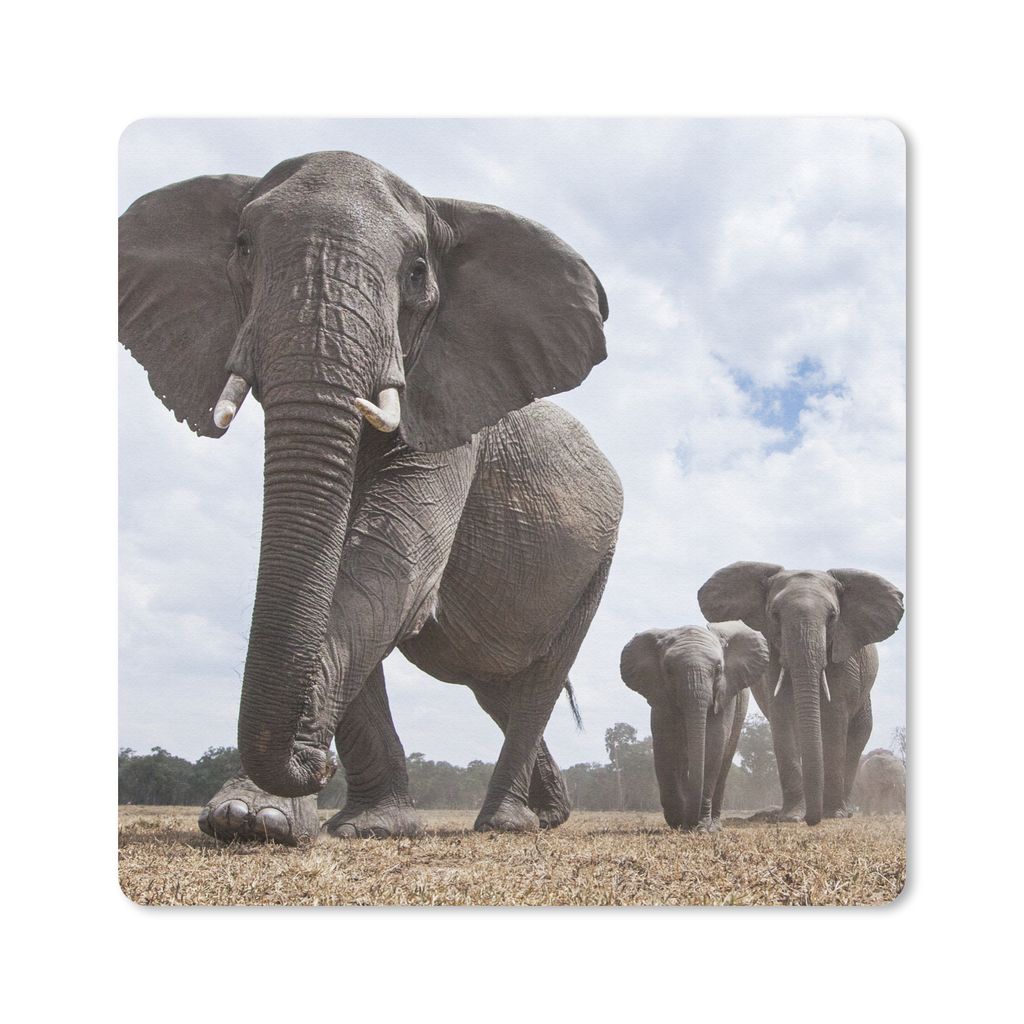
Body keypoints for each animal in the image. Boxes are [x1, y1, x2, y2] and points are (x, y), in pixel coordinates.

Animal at [120, 150, 623, 840]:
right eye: (243, 247)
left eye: (417, 272)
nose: (317, 761)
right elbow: (341, 573)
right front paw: (302, 821)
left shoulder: (449, 420)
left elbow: (389, 570)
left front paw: (261, 816)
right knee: (498, 687)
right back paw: (546, 816)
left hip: (598, 563)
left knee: (536, 686)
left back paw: (507, 825)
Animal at [620, 621, 769, 830]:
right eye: (668, 670)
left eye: (718, 669)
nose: (690, 824)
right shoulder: (659, 693)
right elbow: (665, 744)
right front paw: (678, 821)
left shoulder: (725, 692)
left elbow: (714, 742)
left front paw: (702, 827)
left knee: (725, 760)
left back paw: (715, 825)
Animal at [698, 562, 904, 825]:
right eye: (775, 615)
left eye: (833, 617)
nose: (811, 820)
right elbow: (781, 716)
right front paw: (792, 817)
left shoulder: (844, 656)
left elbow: (835, 720)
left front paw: (832, 814)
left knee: (858, 734)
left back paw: (844, 811)